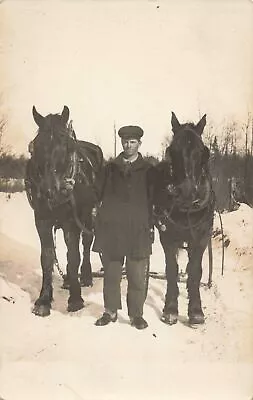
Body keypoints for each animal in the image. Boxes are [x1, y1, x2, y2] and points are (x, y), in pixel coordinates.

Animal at [25, 105, 103, 316]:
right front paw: (44, 300)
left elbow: (74, 255)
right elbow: (47, 257)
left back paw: (85, 276)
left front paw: (75, 299)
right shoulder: (42, 220)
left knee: (86, 244)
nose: (48, 190)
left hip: (88, 216)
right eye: (36, 145)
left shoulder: (72, 222)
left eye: (67, 145)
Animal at [153, 111, 214, 324]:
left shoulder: (202, 237)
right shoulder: (167, 236)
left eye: (203, 151)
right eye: (172, 150)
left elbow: (195, 271)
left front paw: (195, 310)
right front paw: (171, 308)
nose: (186, 193)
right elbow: (171, 269)